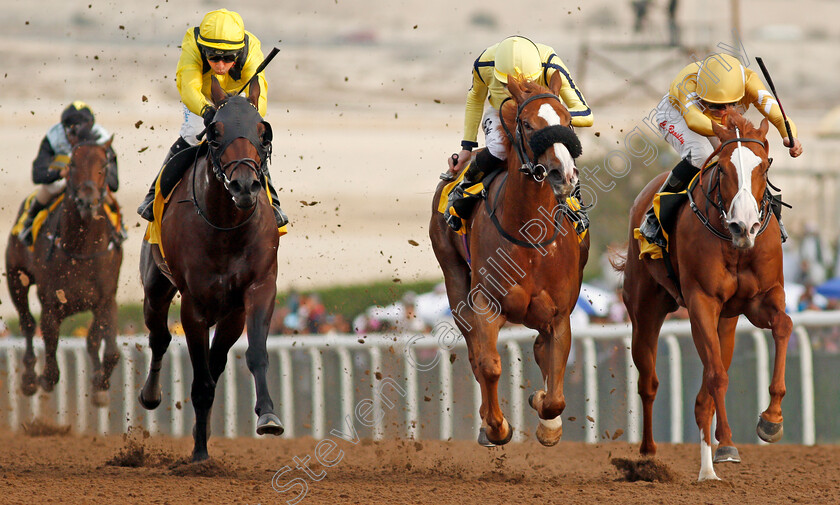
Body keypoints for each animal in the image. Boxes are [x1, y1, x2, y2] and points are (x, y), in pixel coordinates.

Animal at [5, 131, 124, 406]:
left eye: (105, 165)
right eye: (72, 165)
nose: (88, 201)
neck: (81, 249)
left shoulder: (106, 299)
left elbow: (109, 349)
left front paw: (100, 384)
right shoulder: (51, 302)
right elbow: (50, 352)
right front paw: (43, 378)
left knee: (91, 341)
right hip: (16, 277)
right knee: (27, 324)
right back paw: (29, 378)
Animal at [138, 76, 282, 460]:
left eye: (263, 131)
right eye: (215, 132)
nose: (244, 185)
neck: (226, 228)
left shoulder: (258, 289)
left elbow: (255, 354)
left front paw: (269, 416)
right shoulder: (195, 304)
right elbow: (200, 379)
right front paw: (200, 454)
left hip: (230, 314)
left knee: (216, 363)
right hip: (155, 287)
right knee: (159, 337)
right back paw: (150, 395)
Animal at [430, 77, 588, 446]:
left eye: (567, 120)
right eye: (528, 125)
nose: (562, 174)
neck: (528, 234)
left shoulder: (559, 313)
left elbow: (555, 389)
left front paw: (547, 421)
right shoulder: (485, 302)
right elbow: (488, 364)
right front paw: (496, 427)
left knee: (540, 349)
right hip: (454, 278)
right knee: (474, 352)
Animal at [612, 111, 792, 480]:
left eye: (763, 166)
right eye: (722, 169)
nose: (744, 226)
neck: (735, 244)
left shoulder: (763, 299)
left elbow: (784, 326)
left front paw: (771, 420)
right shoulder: (701, 302)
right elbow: (717, 376)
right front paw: (728, 441)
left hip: (728, 322)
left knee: (703, 393)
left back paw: (709, 466)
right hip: (645, 307)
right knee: (649, 381)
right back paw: (649, 457)